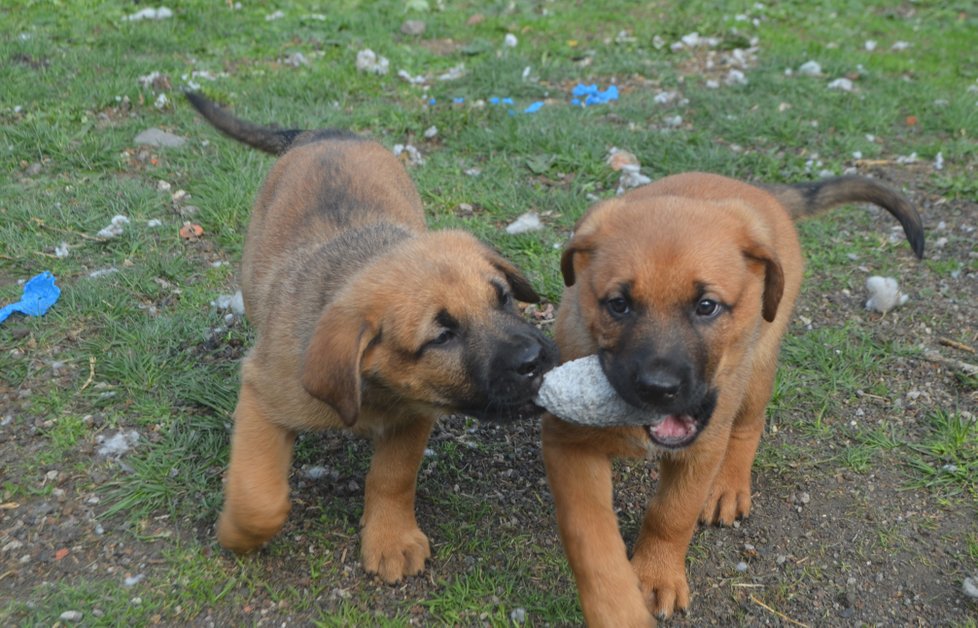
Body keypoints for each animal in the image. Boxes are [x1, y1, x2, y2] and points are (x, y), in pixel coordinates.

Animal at [540, 172, 924, 624]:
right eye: (618, 305)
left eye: (707, 306)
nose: (658, 388)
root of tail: (757, 191)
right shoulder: (568, 444)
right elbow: (591, 540)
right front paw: (617, 608)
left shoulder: (703, 446)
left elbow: (672, 514)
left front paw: (656, 575)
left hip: (756, 365)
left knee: (748, 425)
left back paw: (727, 486)